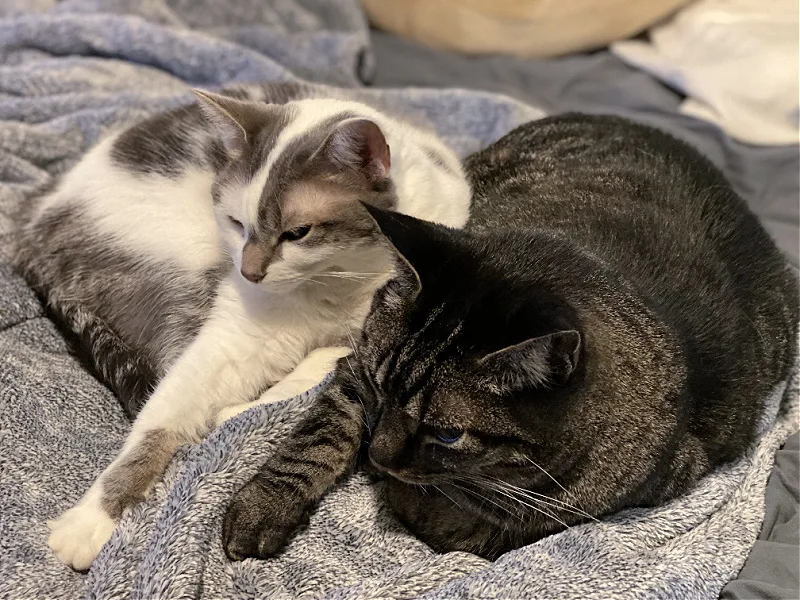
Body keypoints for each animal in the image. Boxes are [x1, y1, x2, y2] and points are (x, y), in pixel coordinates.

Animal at [12, 83, 472, 568]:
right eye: (236, 222)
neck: (333, 282)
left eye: (298, 232)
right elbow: (160, 418)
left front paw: (252, 405)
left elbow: (324, 361)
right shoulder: (234, 337)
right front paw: (93, 518)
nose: (250, 273)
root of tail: (34, 221)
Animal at [220, 115, 800, 560]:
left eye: (448, 434)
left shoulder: (607, 501)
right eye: (382, 389)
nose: (378, 456)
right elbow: (317, 437)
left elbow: (469, 522)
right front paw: (264, 507)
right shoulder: (358, 368)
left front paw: (409, 492)